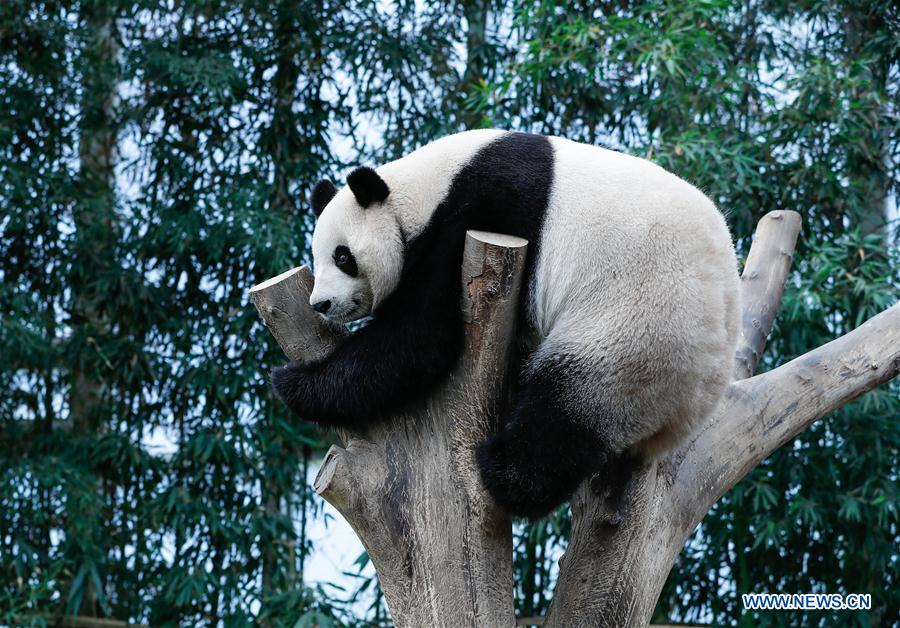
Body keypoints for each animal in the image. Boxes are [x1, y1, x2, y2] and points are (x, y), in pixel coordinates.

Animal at [272, 129, 740, 519]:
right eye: (319, 256)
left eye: (343, 256)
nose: (321, 303)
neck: (427, 186)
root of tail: (696, 403)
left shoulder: (490, 209)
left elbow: (421, 337)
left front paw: (293, 382)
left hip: (635, 330)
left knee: (563, 410)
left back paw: (503, 473)